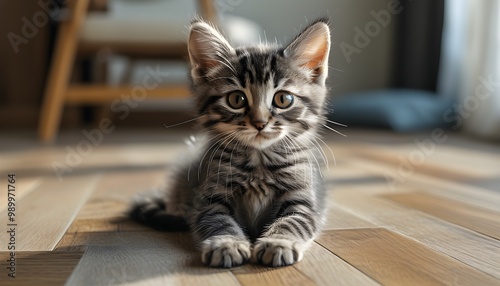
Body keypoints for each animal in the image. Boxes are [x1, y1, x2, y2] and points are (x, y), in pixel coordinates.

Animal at [131, 18, 330, 268]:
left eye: (283, 99)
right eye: (236, 99)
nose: (259, 123)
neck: (259, 160)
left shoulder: (303, 200)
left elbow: (293, 221)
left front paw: (278, 242)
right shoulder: (209, 197)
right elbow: (218, 220)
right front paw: (227, 243)